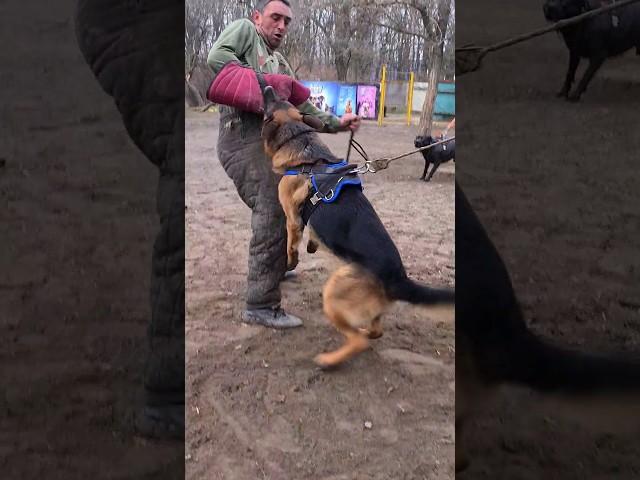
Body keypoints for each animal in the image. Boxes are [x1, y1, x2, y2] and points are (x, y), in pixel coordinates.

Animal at [260, 87, 456, 368]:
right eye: (281, 99)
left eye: (270, 105)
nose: (266, 87)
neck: (303, 147)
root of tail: (399, 279)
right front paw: (311, 246)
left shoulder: (292, 218)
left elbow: (291, 244)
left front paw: (290, 262)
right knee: (375, 331)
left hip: (333, 293)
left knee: (359, 341)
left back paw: (329, 360)